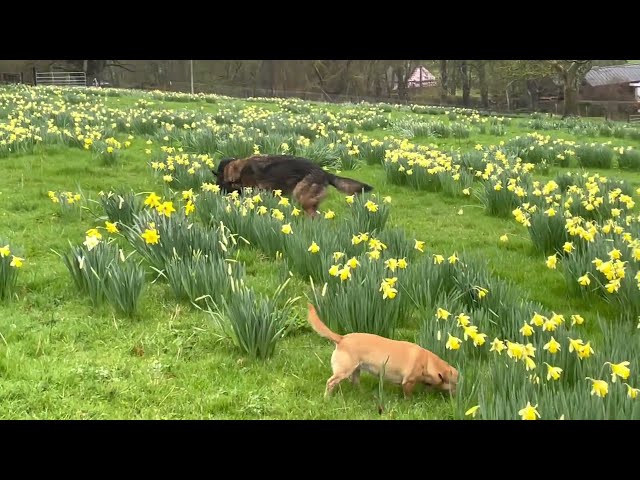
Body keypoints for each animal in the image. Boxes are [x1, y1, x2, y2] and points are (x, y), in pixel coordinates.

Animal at [308, 304, 458, 398]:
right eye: (454, 383)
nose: (457, 394)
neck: (427, 361)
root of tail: (342, 338)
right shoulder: (408, 382)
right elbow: (408, 396)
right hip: (344, 371)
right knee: (330, 382)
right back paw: (327, 398)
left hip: (356, 370)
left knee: (355, 383)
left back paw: (362, 393)